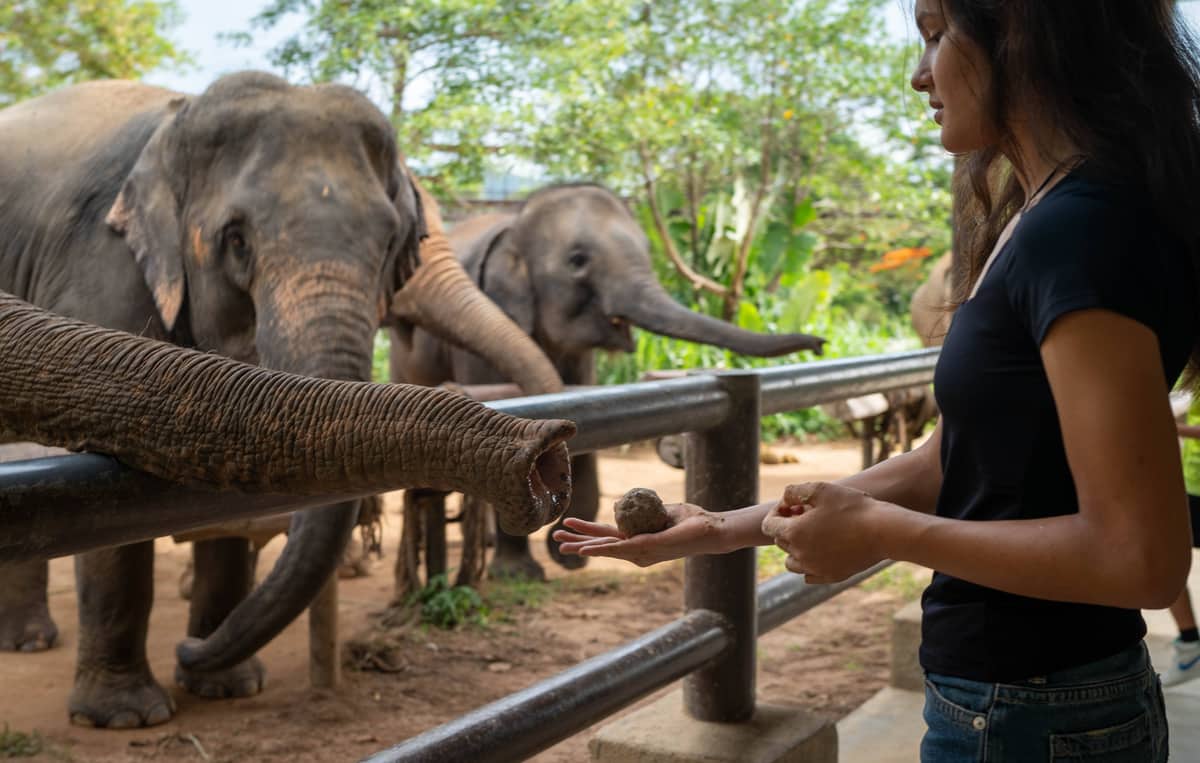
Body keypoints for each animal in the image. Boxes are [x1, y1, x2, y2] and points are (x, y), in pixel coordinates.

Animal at [0, 72, 564, 727]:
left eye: (389, 242)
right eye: (236, 241)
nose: (549, 459)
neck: (177, 116)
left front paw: (229, 687)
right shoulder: (99, 264)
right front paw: (127, 717)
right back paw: (31, 644)